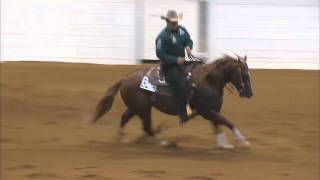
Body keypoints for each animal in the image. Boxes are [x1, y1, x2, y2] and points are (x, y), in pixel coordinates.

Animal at [91, 53, 254, 149]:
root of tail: (125, 79)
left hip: (137, 108)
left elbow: (217, 125)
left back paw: (122, 138)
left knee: (126, 118)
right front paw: (243, 141)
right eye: (245, 74)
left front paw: (223, 144)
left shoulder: (212, 110)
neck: (209, 82)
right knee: (146, 127)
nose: (249, 93)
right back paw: (163, 142)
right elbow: (227, 122)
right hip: (143, 109)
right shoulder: (206, 111)